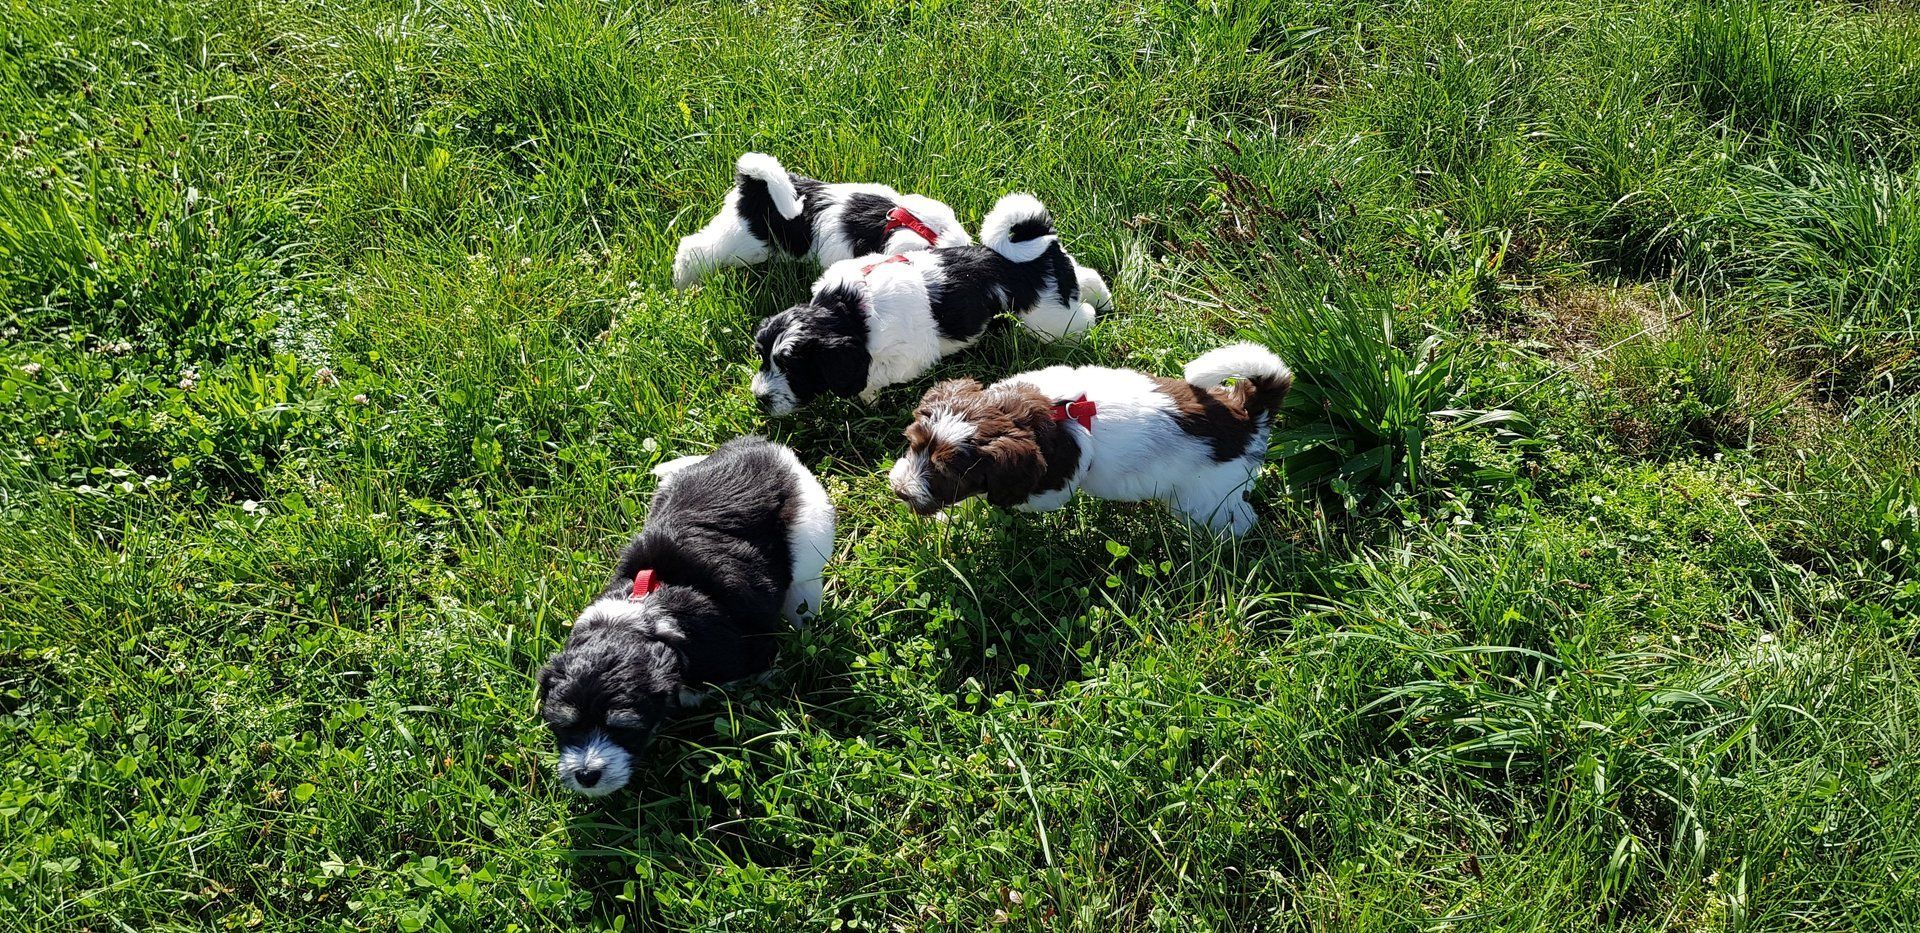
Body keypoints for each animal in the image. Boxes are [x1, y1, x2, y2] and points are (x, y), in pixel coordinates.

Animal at [536, 437, 835, 796]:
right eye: (564, 726)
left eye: (624, 728)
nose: (586, 775)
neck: (645, 620)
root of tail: (763, 447)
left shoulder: (745, 650)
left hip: (809, 533)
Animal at [750, 192, 1111, 415]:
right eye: (762, 358)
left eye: (793, 368)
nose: (760, 399)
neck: (848, 311)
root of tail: (1040, 247)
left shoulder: (906, 356)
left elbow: (871, 376)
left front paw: (866, 398)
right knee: (1086, 276)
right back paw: (1102, 297)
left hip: (1049, 317)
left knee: (1078, 319)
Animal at [887, 343, 1290, 535]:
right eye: (914, 444)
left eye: (946, 472)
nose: (901, 491)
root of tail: (1247, 413)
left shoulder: (1047, 487)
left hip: (1210, 495)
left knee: (1237, 518)